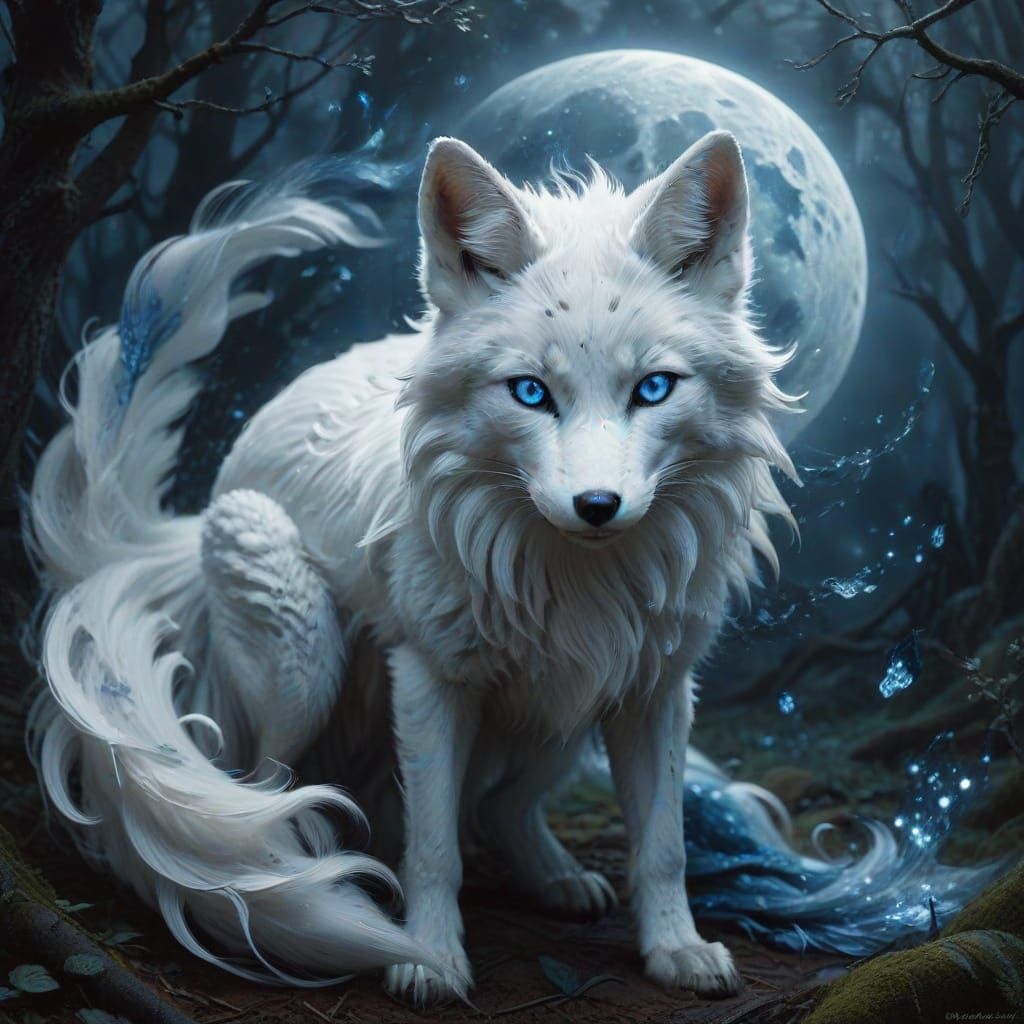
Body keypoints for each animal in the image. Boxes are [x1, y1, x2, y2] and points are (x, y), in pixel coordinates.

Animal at [27, 130, 802, 1005]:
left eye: (655, 388)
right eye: (530, 393)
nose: (596, 505)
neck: (573, 579)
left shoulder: (655, 688)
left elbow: (663, 846)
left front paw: (676, 949)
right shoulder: (431, 677)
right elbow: (433, 849)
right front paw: (425, 956)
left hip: (560, 711)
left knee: (503, 807)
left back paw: (556, 879)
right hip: (306, 667)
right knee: (265, 781)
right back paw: (295, 881)